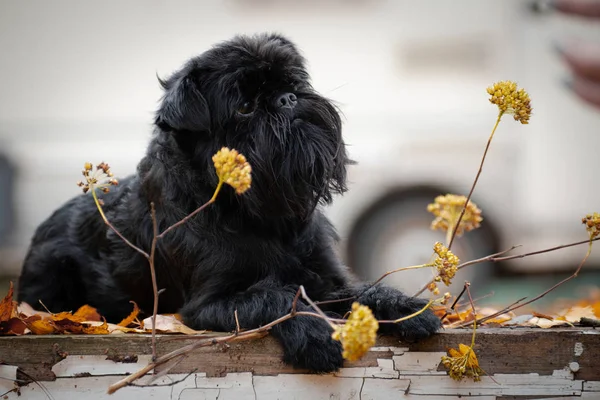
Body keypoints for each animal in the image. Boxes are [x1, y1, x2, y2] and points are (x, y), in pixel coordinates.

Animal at [17, 32, 440, 372]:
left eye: (293, 82)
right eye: (244, 107)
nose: (287, 98)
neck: (263, 214)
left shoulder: (324, 281)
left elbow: (362, 292)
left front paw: (406, 307)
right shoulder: (207, 306)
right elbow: (274, 297)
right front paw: (316, 334)